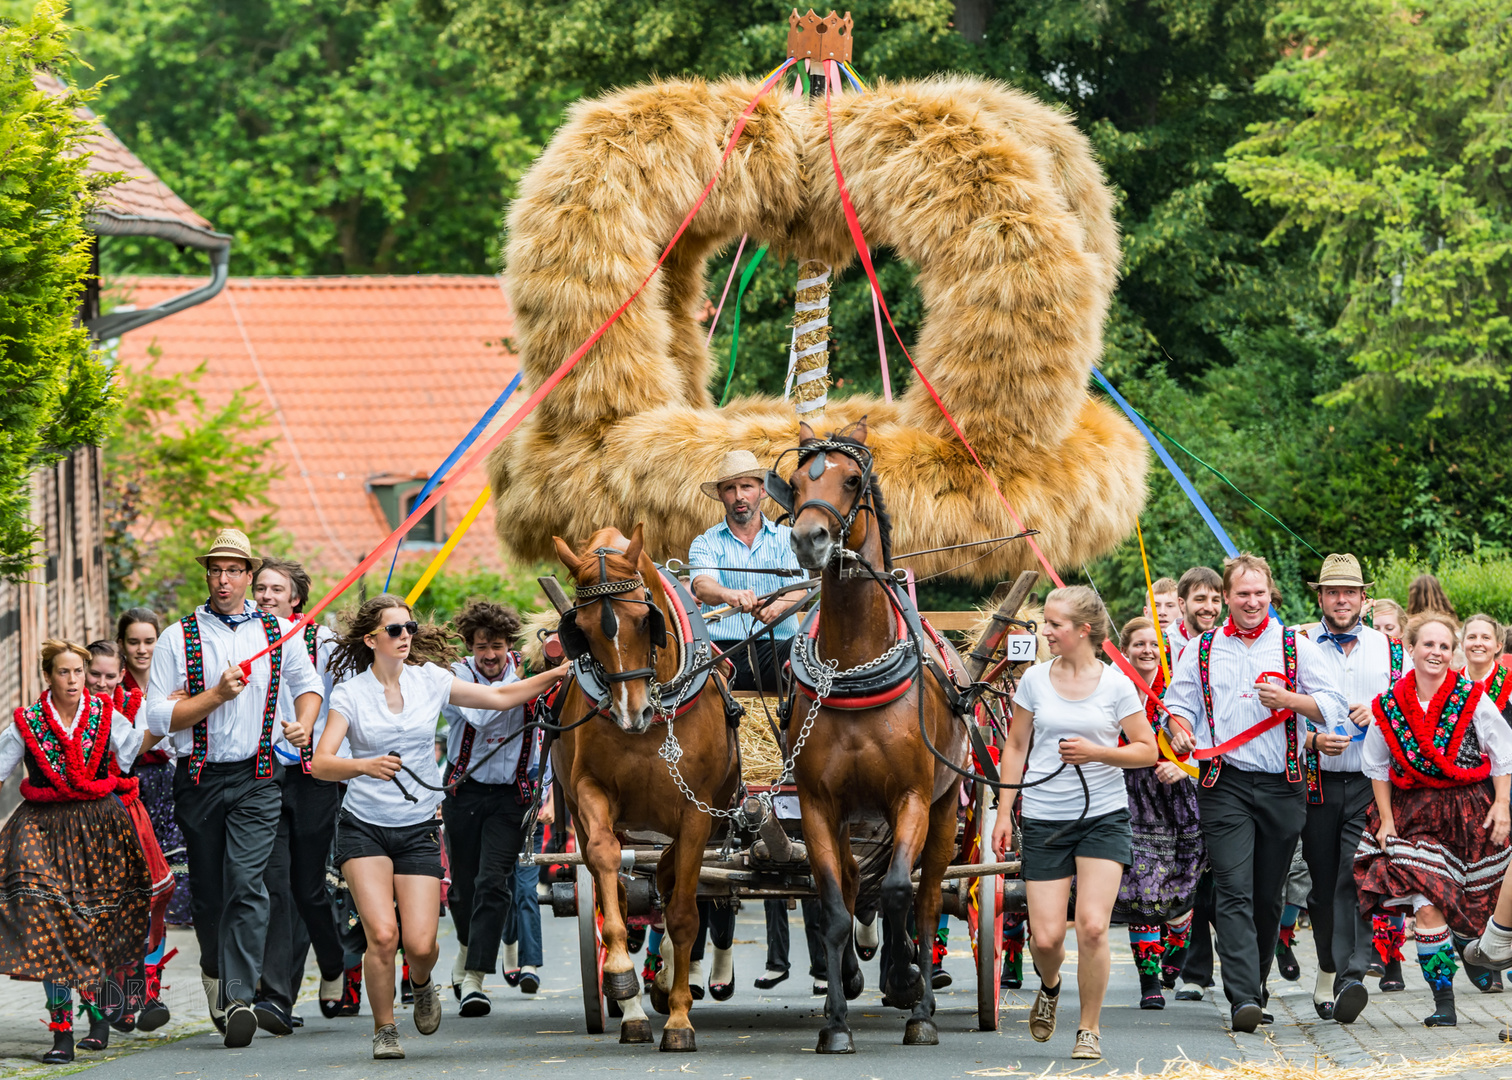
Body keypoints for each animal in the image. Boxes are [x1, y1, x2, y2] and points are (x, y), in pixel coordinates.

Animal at [556, 526, 743, 1046]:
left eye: (645, 620)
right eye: (581, 629)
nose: (630, 713)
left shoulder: (697, 812)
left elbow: (683, 913)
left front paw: (679, 1018)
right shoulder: (590, 792)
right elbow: (607, 867)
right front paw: (622, 978)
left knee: (669, 878)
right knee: (628, 886)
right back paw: (634, 1008)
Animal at [768, 420, 967, 1052]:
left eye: (852, 478)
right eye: (797, 481)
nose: (809, 538)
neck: (855, 660)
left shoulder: (911, 798)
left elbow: (901, 890)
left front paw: (907, 985)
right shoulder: (817, 804)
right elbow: (834, 904)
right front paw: (835, 1021)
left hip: (945, 809)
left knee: (926, 897)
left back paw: (919, 995)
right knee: (857, 882)